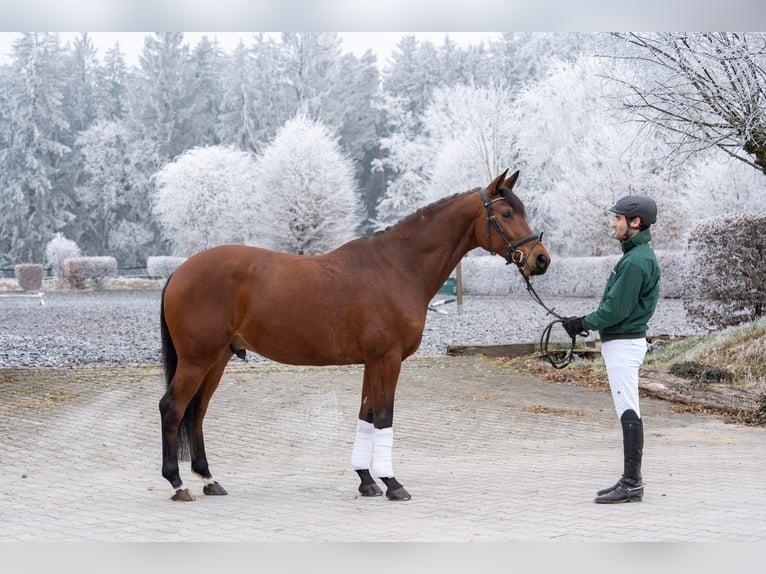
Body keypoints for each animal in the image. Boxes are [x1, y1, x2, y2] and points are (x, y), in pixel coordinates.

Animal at [159, 169, 552, 502]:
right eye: (506, 213)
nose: (541, 259)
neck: (398, 267)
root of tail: (180, 271)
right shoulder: (387, 360)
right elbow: (384, 417)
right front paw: (393, 483)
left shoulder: (372, 362)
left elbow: (366, 415)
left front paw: (366, 481)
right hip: (198, 359)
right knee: (173, 407)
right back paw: (177, 484)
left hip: (218, 358)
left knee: (198, 410)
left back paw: (208, 479)